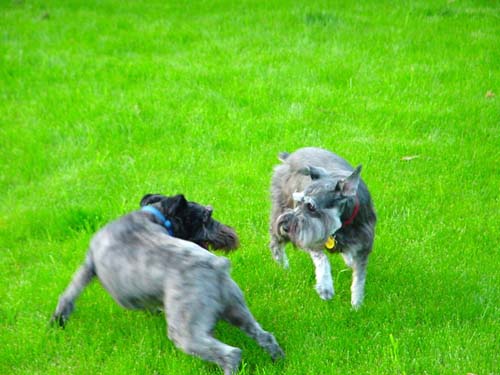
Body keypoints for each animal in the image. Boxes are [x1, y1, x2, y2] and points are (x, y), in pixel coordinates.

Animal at [53, 194, 286, 375]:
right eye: (207, 217)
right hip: (237, 309)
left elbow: (70, 292)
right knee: (264, 336)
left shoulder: (88, 263)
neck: (155, 217)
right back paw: (278, 361)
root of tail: (215, 267)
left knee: (231, 354)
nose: (231, 235)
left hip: (184, 331)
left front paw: (58, 320)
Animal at [270, 147, 376, 308]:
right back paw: (284, 267)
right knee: (275, 244)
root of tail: (289, 157)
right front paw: (325, 288)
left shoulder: (363, 248)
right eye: (298, 202)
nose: (286, 227)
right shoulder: (311, 238)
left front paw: (357, 304)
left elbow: (359, 278)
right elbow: (322, 259)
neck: (342, 225)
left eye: (311, 206)